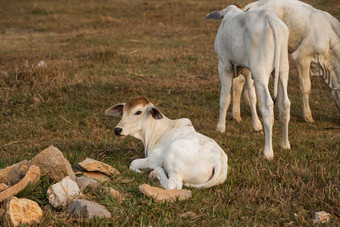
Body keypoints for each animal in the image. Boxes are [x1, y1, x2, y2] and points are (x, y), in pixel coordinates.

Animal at [206, 4, 290, 158]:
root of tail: (270, 19)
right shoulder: (247, 70)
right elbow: (251, 97)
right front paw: (256, 126)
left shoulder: (224, 66)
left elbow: (225, 99)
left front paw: (220, 127)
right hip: (282, 70)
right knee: (285, 104)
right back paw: (285, 145)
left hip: (260, 72)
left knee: (268, 105)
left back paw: (268, 151)